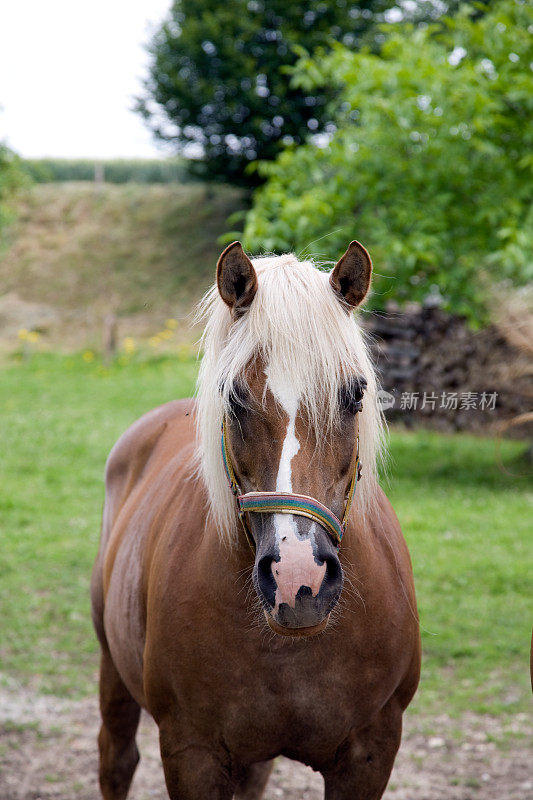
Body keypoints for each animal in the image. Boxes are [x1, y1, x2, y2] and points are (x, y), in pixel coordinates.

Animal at [93, 241, 422, 796]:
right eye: (234, 396)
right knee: (116, 759)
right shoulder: (192, 754)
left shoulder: (370, 754)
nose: (298, 579)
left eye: (355, 393)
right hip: (112, 672)